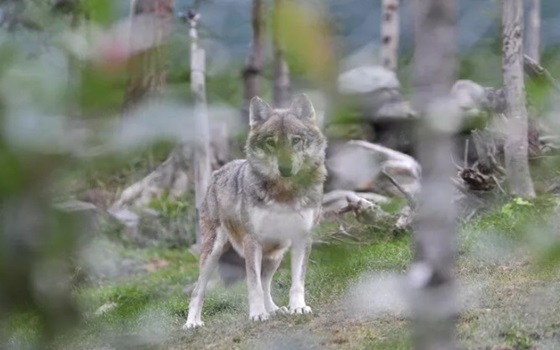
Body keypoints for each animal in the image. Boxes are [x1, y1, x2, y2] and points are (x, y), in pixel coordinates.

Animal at [184, 93, 326, 328]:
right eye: (271, 142)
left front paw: (298, 307)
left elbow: (297, 282)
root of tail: (217, 171)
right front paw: (257, 314)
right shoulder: (252, 241)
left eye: (296, 140)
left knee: (266, 282)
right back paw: (192, 323)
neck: (284, 194)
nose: (285, 168)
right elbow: (253, 284)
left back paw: (276, 310)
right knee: (198, 290)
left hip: (276, 253)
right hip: (213, 253)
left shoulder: (302, 238)